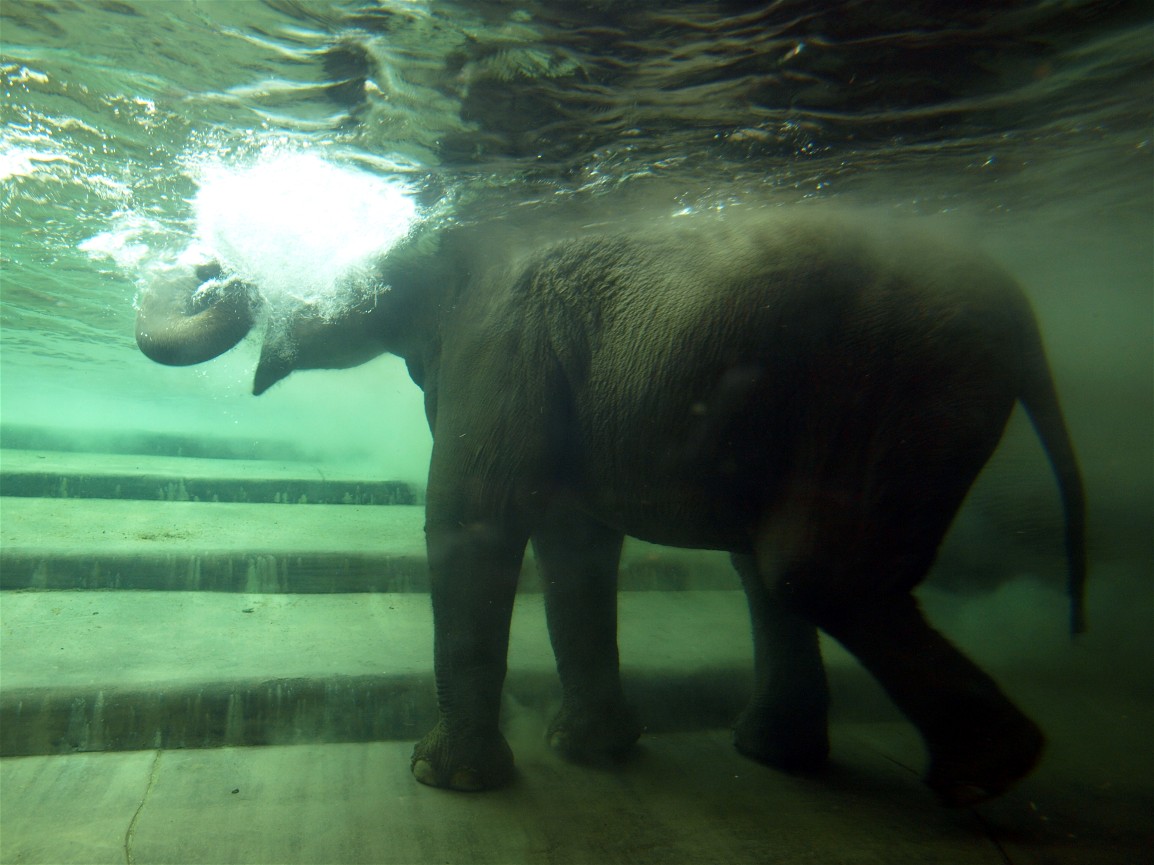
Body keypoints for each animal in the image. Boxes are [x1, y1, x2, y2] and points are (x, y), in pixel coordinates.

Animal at [136, 201, 1086, 806]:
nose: (208, 264)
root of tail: (1028, 323)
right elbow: (574, 543)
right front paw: (593, 751)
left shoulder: (498, 351)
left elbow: (472, 521)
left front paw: (445, 781)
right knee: (771, 569)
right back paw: (788, 755)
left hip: (903, 389)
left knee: (807, 570)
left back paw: (985, 774)